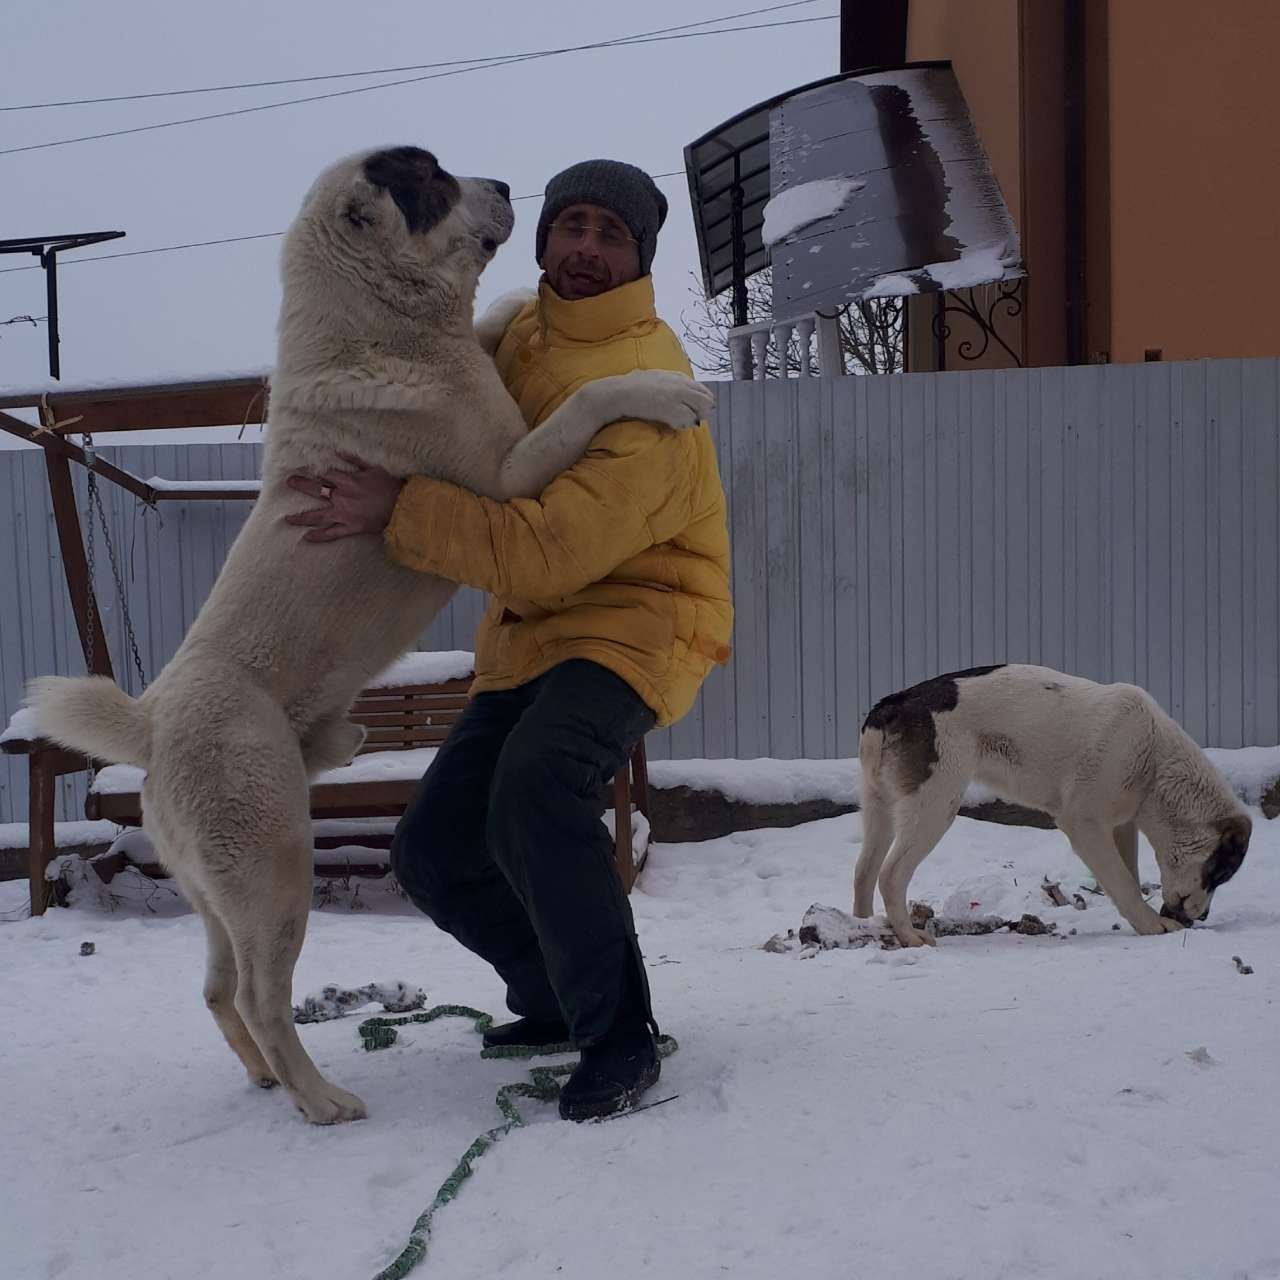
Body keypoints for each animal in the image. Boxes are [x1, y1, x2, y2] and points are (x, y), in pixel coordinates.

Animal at [849, 665, 1249, 947]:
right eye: (1220, 874)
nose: (1203, 918)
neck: (1155, 761)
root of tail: (890, 704)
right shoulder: (1083, 824)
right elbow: (1123, 881)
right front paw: (1151, 925)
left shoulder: (1121, 826)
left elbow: (1127, 876)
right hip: (935, 806)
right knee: (890, 875)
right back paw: (909, 937)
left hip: (880, 808)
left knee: (864, 871)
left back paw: (862, 926)